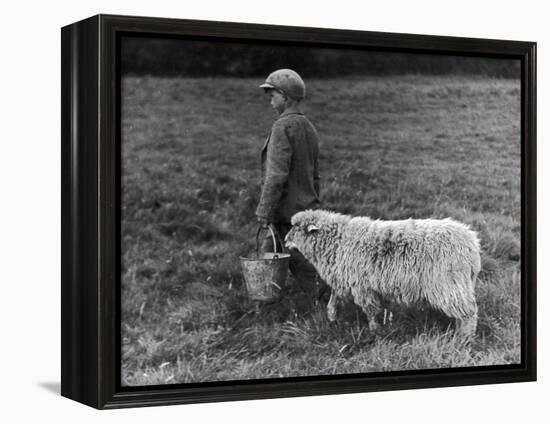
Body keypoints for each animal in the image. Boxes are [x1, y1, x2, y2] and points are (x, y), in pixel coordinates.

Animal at [284, 209, 484, 334]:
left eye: (297, 227)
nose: (285, 241)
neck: (338, 241)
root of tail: (471, 243)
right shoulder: (343, 280)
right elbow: (335, 298)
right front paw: (332, 317)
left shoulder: (361, 286)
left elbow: (370, 310)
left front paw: (375, 331)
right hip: (459, 284)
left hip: (449, 284)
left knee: (469, 312)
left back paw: (464, 338)